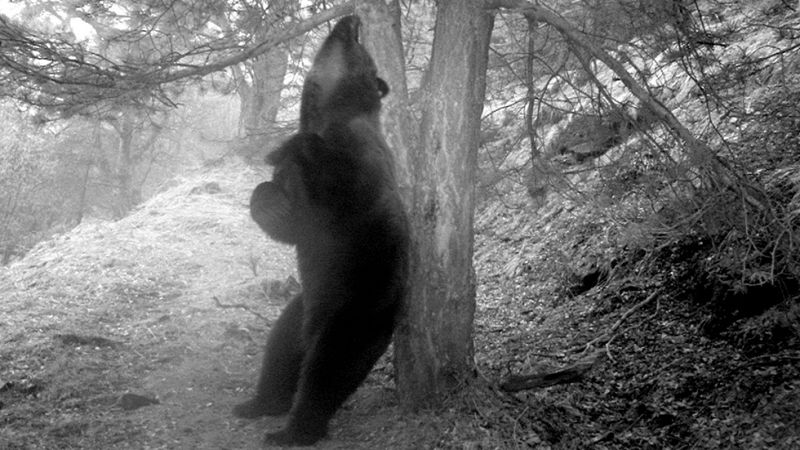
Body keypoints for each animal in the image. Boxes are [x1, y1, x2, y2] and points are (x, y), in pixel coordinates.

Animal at [234, 15, 409, 447]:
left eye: (360, 50)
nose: (352, 19)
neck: (325, 114)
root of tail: (312, 329)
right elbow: (289, 220)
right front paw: (270, 197)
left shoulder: (357, 164)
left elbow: (337, 194)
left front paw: (286, 147)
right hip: (298, 308)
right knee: (279, 351)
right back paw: (258, 402)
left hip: (355, 309)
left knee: (328, 370)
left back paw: (294, 429)